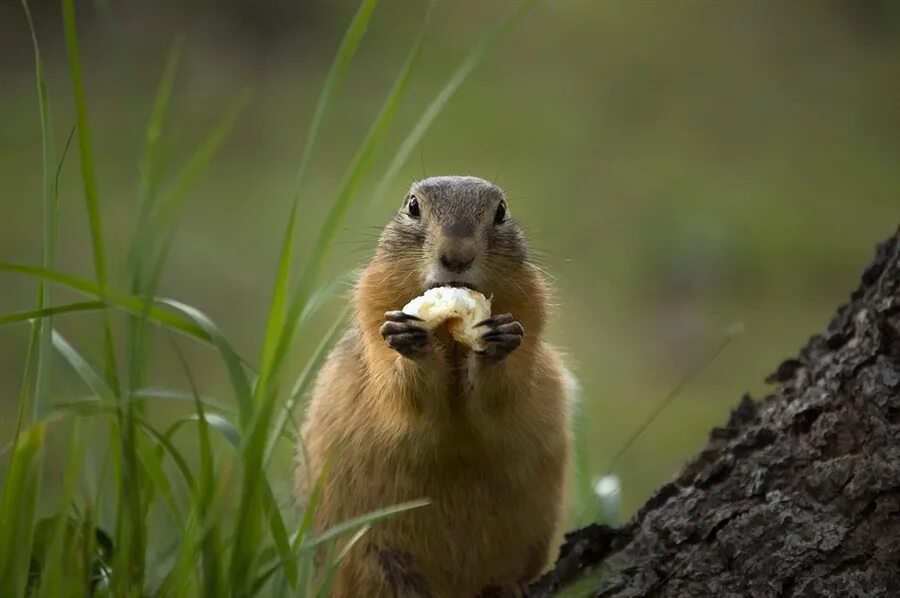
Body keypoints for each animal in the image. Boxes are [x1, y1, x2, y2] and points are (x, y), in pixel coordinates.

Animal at [298, 176, 572, 596]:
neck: (452, 342)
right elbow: (402, 397)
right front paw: (411, 340)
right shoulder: (372, 317)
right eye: (412, 206)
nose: (456, 256)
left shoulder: (531, 315)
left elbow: (506, 395)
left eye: (501, 211)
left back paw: (507, 587)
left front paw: (498, 342)